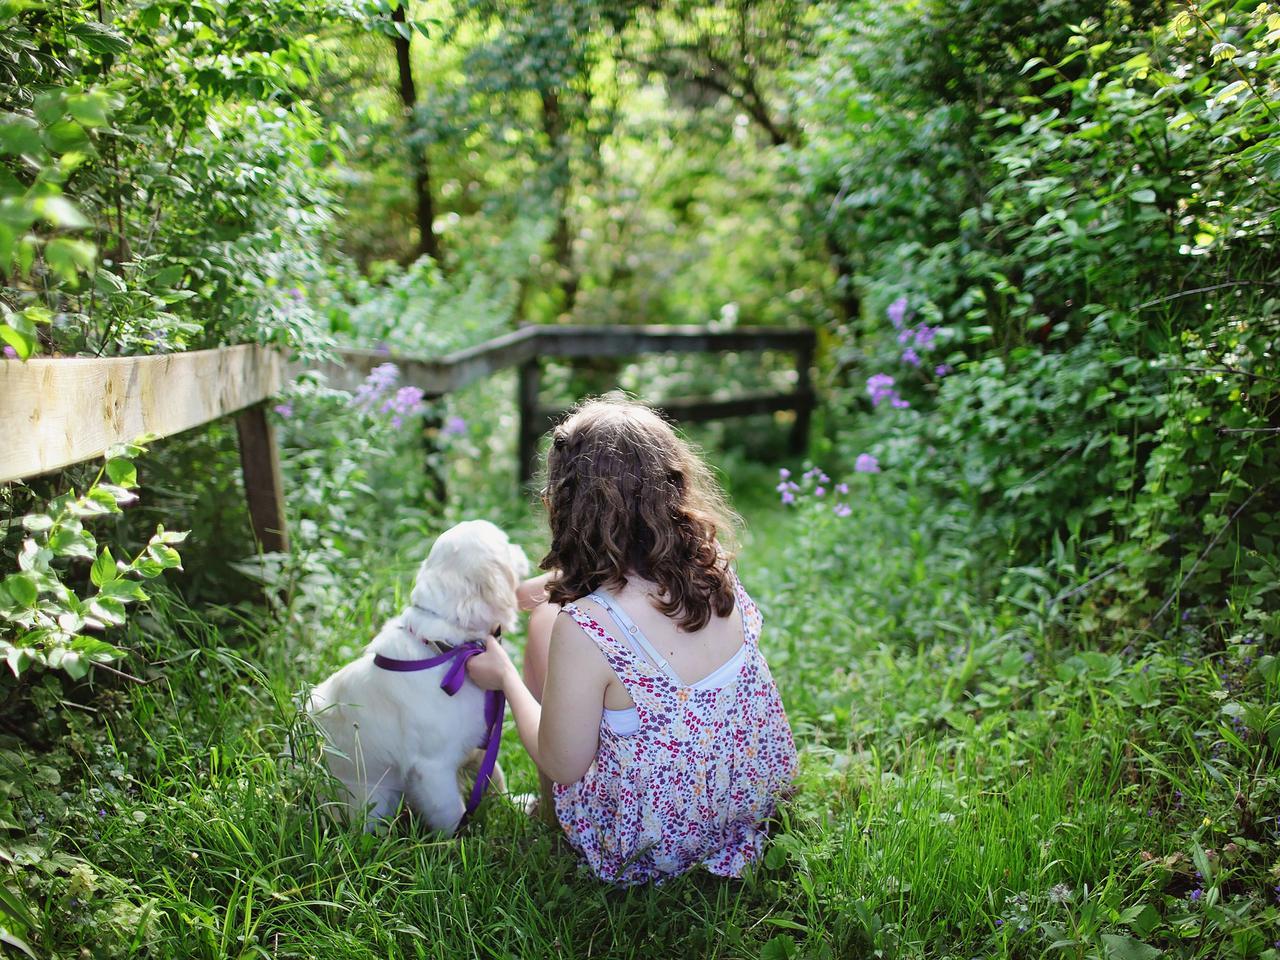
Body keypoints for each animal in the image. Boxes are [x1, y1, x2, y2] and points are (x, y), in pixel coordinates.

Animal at [307, 519, 527, 834]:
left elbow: (494, 776)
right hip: (374, 800)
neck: (447, 648)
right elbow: (452, 813)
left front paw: (516, 805)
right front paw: (461, 841)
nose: (521, 548)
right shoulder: (433, 768)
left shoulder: (479, 741)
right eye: (506, 544)